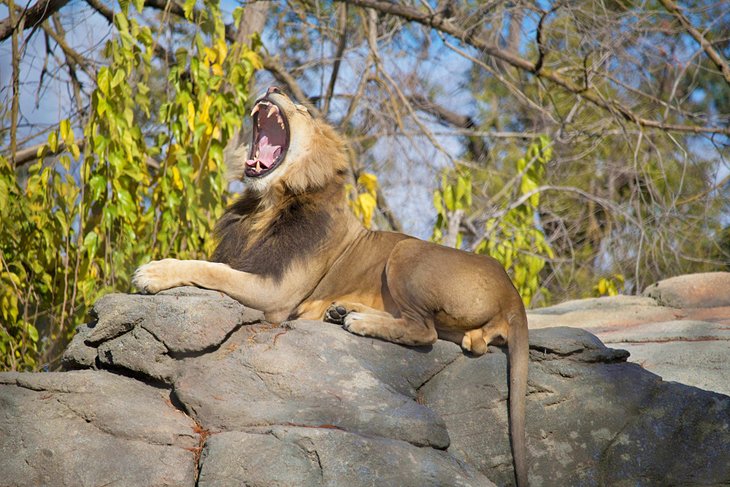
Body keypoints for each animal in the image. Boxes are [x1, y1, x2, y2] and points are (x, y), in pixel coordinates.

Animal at [132, 86, 528, 486]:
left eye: (303, 109)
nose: (273, 88)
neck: (267, 204)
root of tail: (513, 293)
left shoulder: (275, 293)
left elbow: (210, 269)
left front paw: (154, 272)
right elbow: (212, 264)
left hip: (407, 250)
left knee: (424, 331)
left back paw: (359, 321)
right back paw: (344, 310)